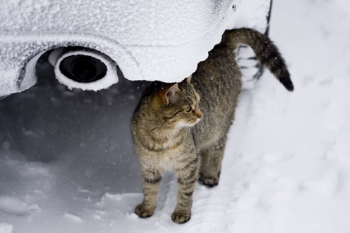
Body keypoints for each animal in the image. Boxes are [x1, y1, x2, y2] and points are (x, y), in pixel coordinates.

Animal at [131, 27, 292, 224]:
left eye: (198, 102)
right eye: (188, 109)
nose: (201, 115)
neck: (162, 136)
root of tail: (221, 45)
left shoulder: (189, 164)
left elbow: (185, 192)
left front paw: (182, 212)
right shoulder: (149, 167)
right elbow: (149, 190)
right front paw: (147, 208)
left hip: (221, 126)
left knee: (217, 151)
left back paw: (210, 175)